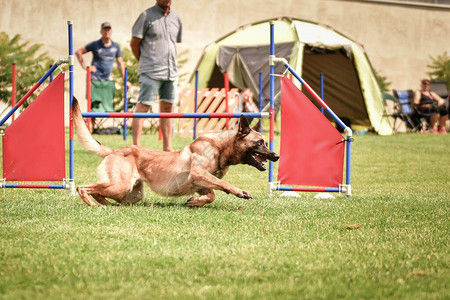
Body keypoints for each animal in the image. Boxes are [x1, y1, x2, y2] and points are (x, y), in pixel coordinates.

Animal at [73, 98, 278, 206]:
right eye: (260, 142)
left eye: (265, 142)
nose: (276, 156)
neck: (220, 147)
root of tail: (115, 150)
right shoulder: (198, 174)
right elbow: (223, 183)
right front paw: (240, 192)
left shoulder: (199, 182)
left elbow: (211, 194)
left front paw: (195, 202)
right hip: (120, 186)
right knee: (82, 187)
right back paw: (93, 204)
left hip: (131, 194)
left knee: (100, 192)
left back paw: (106, 204)